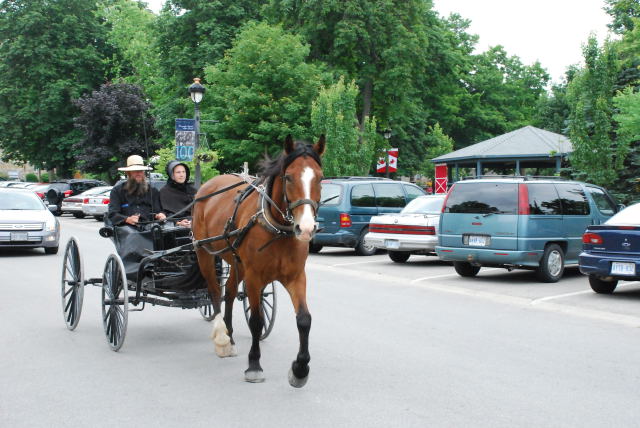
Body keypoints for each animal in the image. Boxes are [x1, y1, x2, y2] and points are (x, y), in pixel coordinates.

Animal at [192, 135, 324, 386]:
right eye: (288, 177)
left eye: (320, 177)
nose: (306, 228)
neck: (278, 229)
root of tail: (207, 185)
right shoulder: (254, 278)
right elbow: (256, 321)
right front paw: (254, 365)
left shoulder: (296, 277)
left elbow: (304, 320)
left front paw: (300, 369)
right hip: (204, 252)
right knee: (214, 291)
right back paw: (222, 337)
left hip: (237, 262)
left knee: (229, 292)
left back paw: (231, 336)